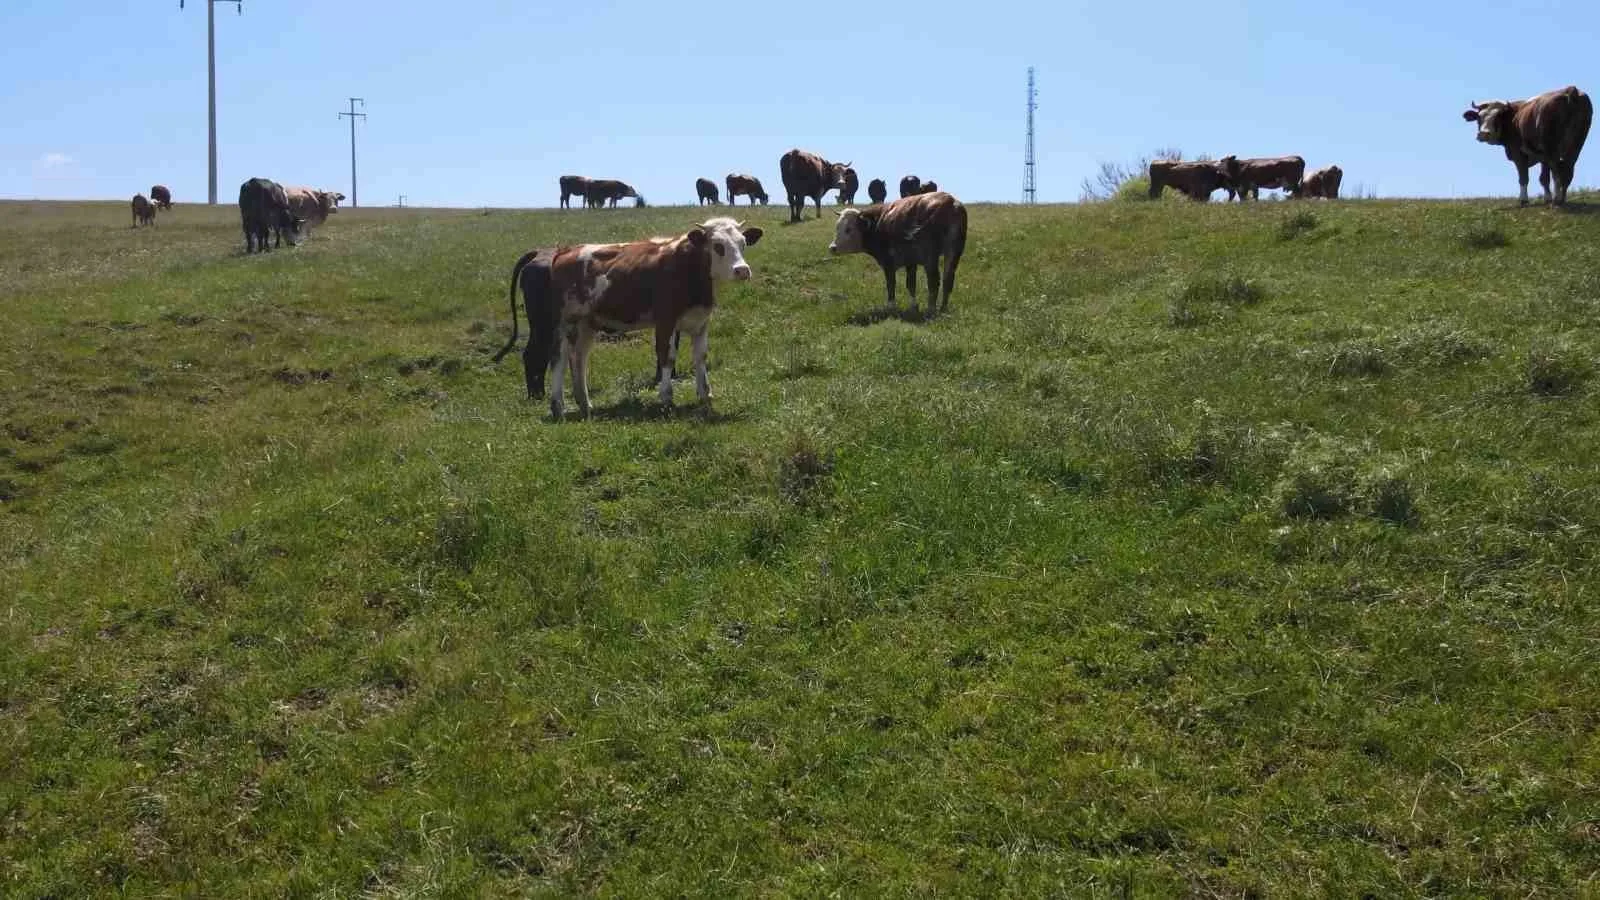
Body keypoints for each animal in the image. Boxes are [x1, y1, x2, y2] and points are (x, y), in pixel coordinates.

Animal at [492, 217, 761, 416]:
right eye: (718, 246)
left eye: (742, 243)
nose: (742, 270)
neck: (689, 268)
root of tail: (563, 252)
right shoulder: (665, 320)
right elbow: (667, 357)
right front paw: (666, 399)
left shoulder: (701, 321)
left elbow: (700, 357)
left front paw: (706, 395)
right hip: (563, 322)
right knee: (557, 358)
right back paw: (557, 406)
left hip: (586, 324)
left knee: (579, 358)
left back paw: (585, 404)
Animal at [832, 188, 966, 315]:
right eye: (837, 227)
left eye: (848, 229)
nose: (832, 247)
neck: (878, 222)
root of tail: (950, 202)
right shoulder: (911, 262)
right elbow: (911, 284)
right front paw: (913, 307)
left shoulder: (888, 262)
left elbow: (891, 284)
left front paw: (891, 307)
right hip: (954, 253)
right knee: (948, 280)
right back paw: (943, 308)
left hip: (931, 258)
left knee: (934, 281)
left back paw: (931, 309)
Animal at [1465, 86, 1593, 206]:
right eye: (1479, 117)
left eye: (1498, 116)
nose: (1484, 134)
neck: (1513, 118)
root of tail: (1570, 90)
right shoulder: (1543, 157)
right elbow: (1544, 178)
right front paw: (1547, 198)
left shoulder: (1518, 154)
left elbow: (1523, 178)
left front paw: (1524, 200)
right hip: (1576, 146)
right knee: (1567, 170)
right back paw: (1561, 199)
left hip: (1552, 148)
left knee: (1557, 172)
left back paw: (1556, 199)